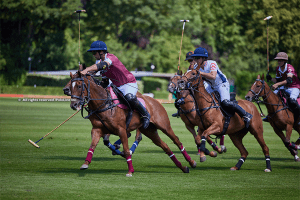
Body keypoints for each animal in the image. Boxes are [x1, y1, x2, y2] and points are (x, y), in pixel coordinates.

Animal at [68, 71, 196, 176]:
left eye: (79, 86)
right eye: (70, 87)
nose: (74, 105)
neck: (104, 104)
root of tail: (156, 101)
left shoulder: (121, 130)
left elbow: (125, 149)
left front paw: (130, 170)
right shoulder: (96, 129)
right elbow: (92, 146)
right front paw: (85, 163)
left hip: (164, 126)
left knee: (176, 140)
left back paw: (192, 162)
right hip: (149, 130)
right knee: (165, 146)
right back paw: (183, 167)